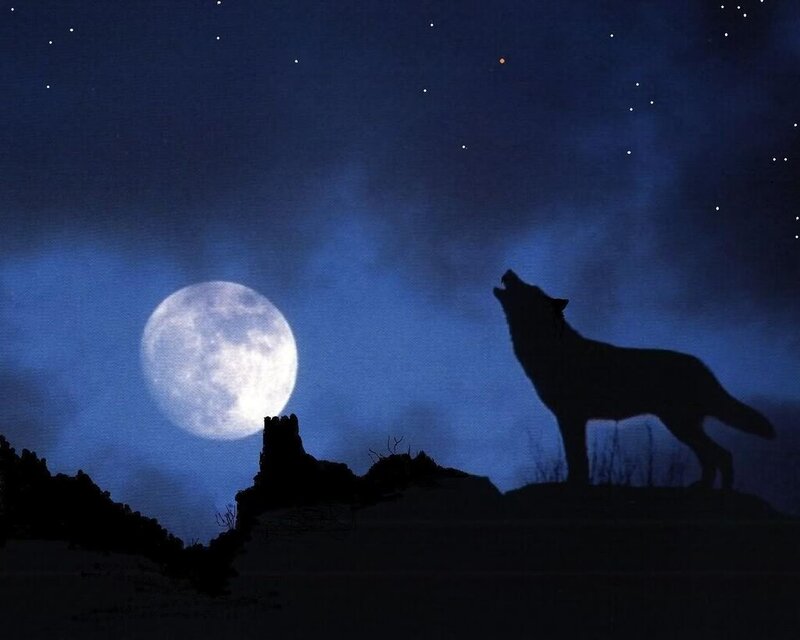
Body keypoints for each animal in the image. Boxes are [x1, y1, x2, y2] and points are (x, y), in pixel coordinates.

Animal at [494, 269, 775, 488]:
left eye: (528, 287)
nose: (508, 271)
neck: (548, 348)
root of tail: (702, 366)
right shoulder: (571, 418)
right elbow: (578, 458)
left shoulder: (571, 417)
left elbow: (578, 458)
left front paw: (575, 483)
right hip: (681, 425)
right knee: (715, 456)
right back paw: (703, 487)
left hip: (679, 424)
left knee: (722, 455)